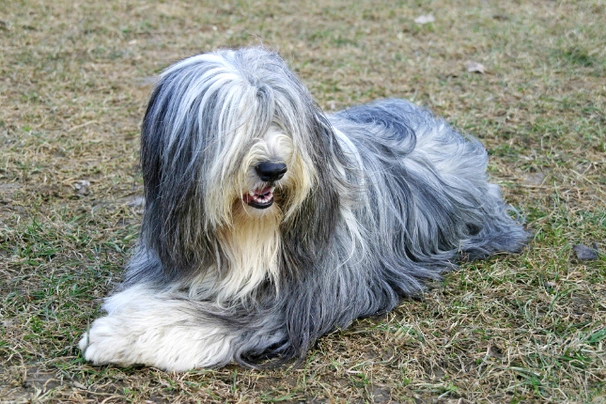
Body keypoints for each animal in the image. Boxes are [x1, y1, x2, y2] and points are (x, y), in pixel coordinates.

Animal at [79, 45, 528, 370]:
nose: (273, 168)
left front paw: (114, 336)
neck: (248, 229)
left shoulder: (305, 299)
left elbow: (218, 320)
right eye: (237, 122)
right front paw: (132, 307)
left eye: (281, 117)